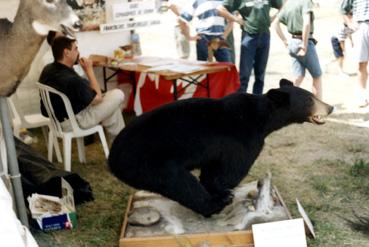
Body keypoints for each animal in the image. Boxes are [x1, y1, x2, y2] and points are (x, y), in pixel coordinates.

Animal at [108, 78, 332, 216]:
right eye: (309, 99)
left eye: (312, 94)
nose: (330, 107)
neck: (262, 118)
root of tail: (112, 160)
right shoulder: (243, 140)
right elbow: (228, 170)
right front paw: (223, 191)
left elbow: (212, 169)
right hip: (151, 162)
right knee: (179, 182)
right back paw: (215, 204)